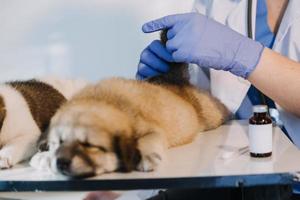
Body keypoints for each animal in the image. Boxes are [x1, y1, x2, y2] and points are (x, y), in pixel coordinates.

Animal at [47, 31, 230, 178]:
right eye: (60, 142)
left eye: (89, 145)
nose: (61, 162)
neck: (103, 101)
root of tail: (175, 79)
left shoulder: (152, 130)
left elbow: (147, 141)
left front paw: (147, 157)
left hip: (211, 112)